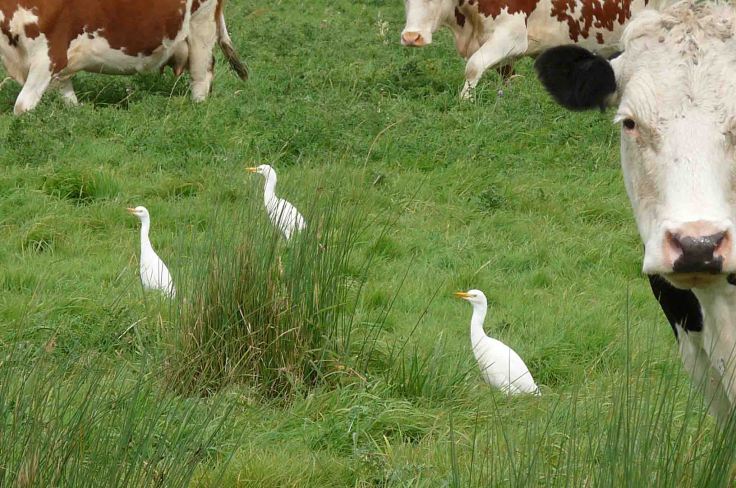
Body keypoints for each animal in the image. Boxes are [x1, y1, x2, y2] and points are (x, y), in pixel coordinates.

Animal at [0, 0, 247, 115]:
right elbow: (69, 100)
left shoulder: (49, 54)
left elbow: (22, 106)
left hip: (201, 24)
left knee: (201, 75)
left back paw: (196, 109)